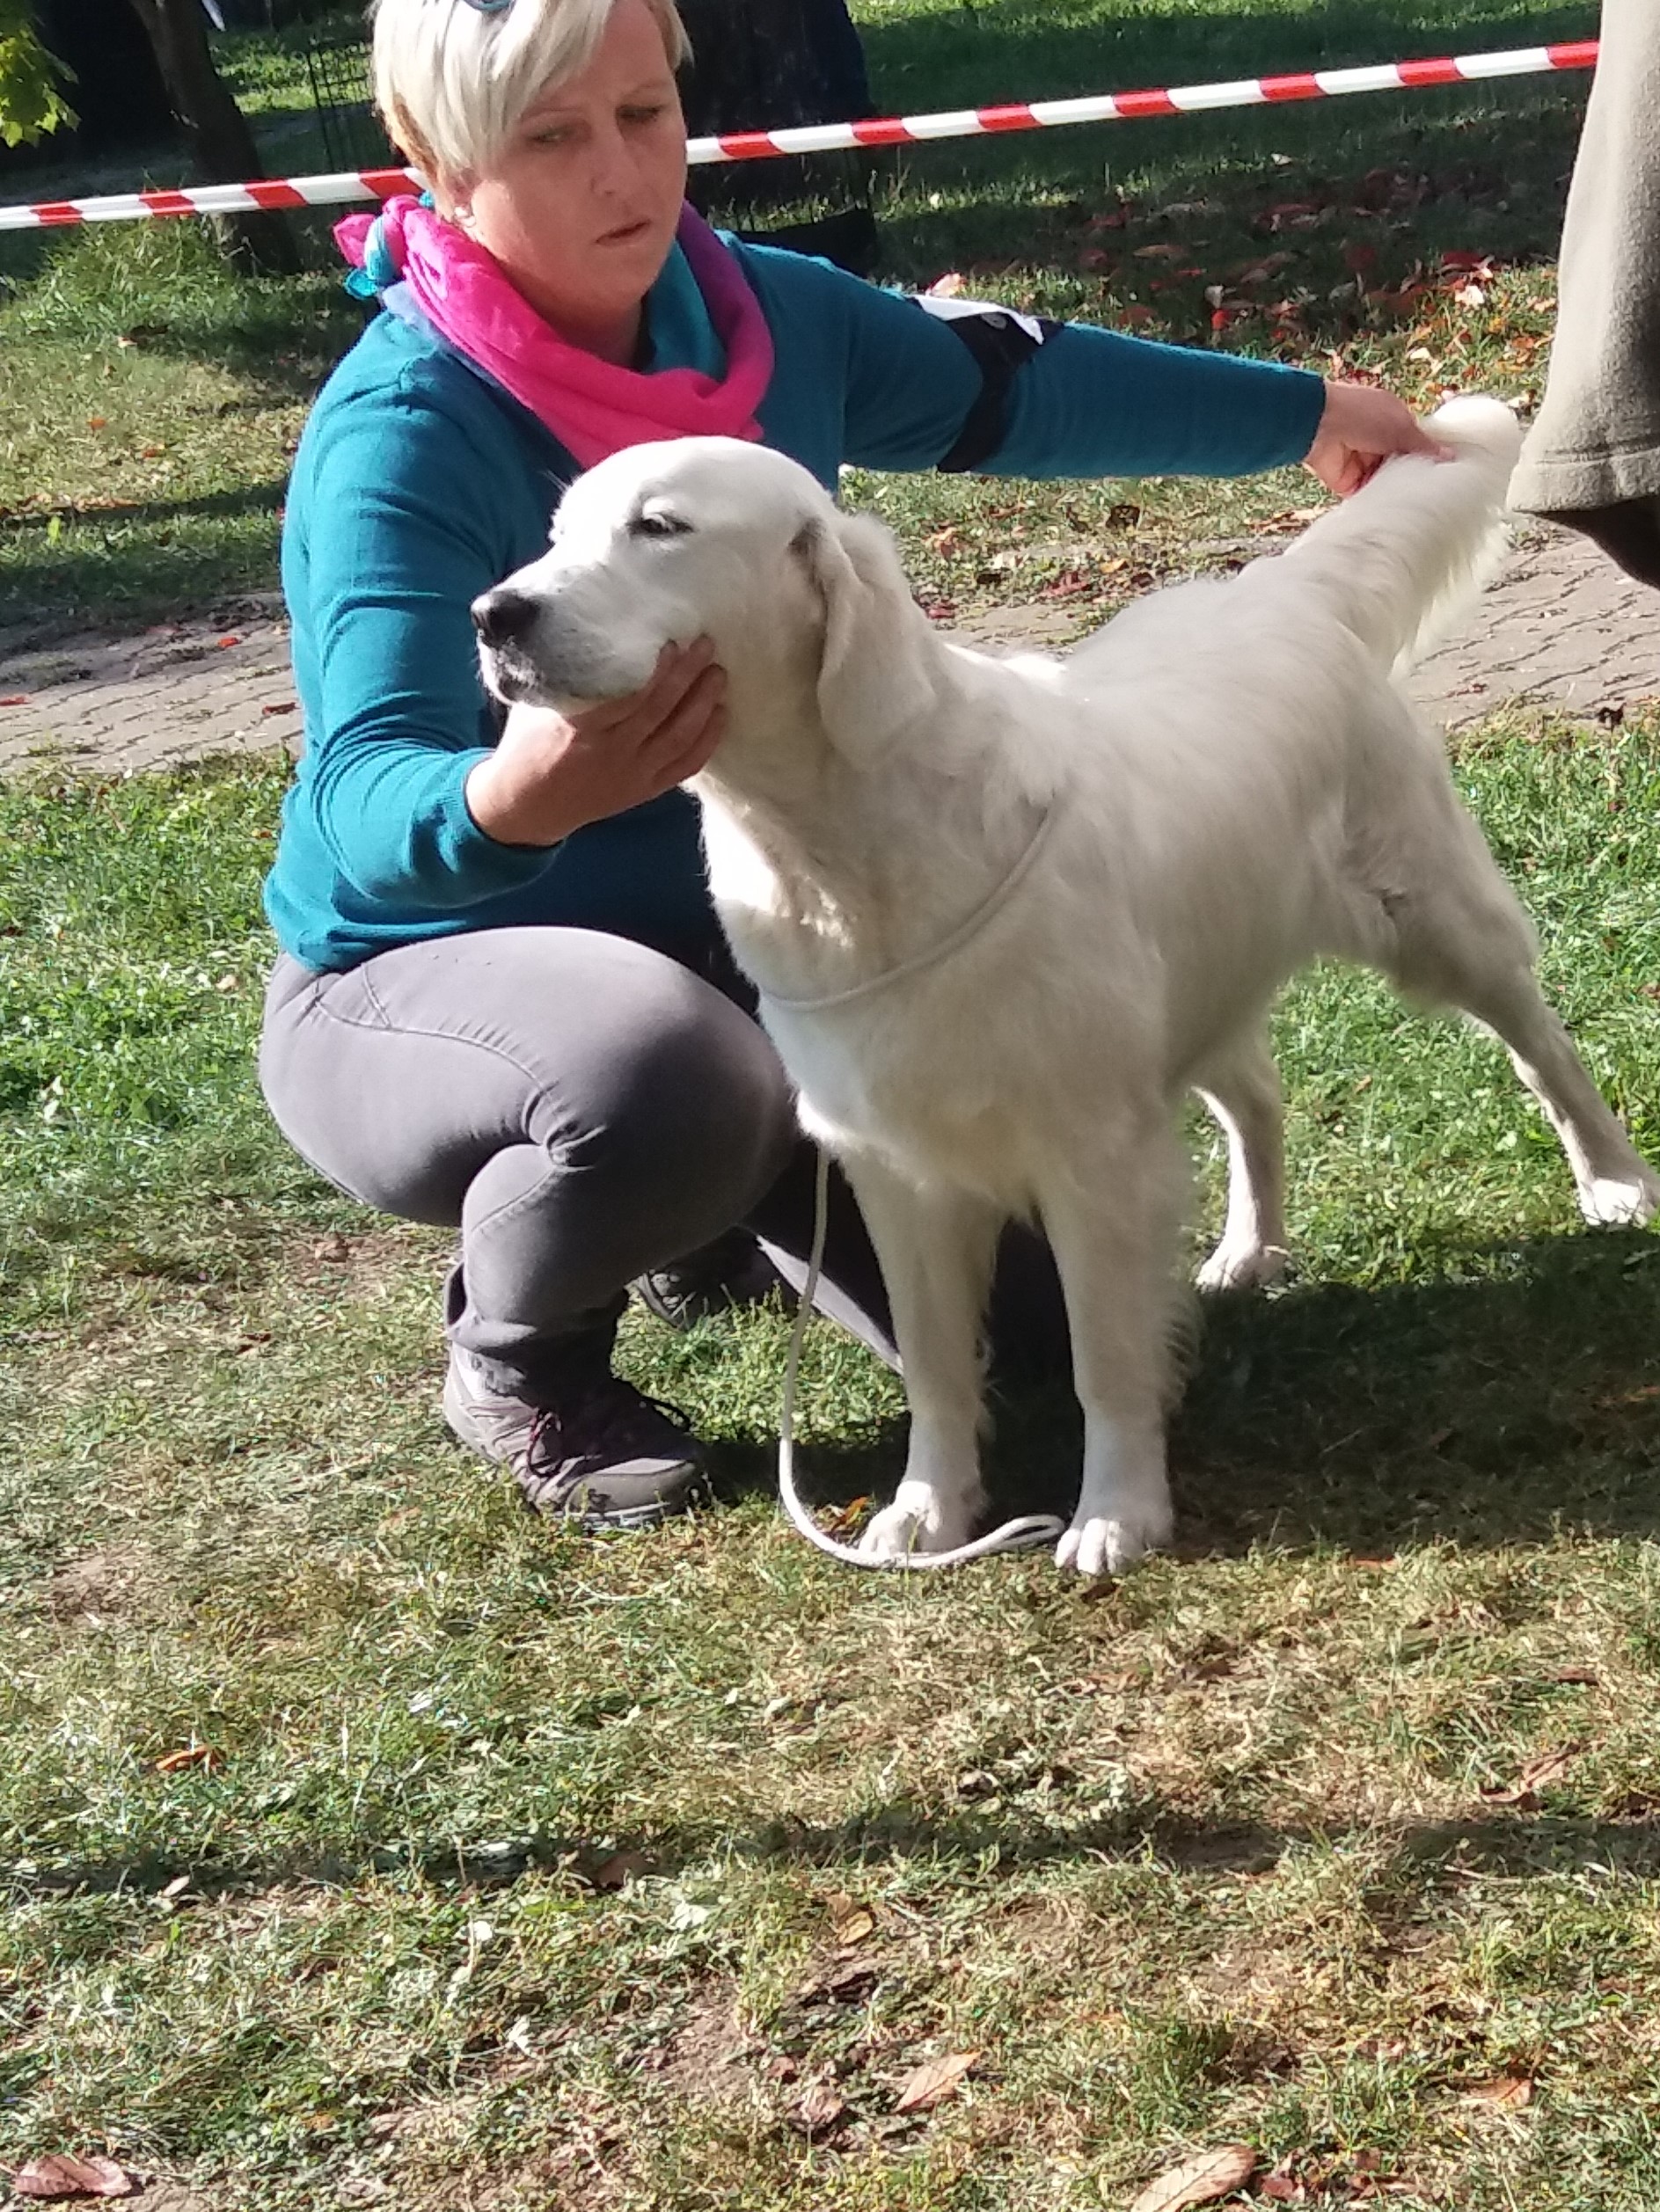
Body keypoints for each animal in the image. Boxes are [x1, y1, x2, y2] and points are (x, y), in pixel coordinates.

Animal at [471, 402, 1660, 1574]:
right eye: (557, 536)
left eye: (659, 527)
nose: (495, 614)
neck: (835, 838)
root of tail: (1282, 586)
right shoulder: (896, 1166)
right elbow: (936, 1364)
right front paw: (931, 1509)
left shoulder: (1095, 1156)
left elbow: (1103, 1358)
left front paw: (1117, 1513)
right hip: (1198, 986)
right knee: (1258, 1098)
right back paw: (1251, 1249)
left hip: (1435, 922)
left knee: (1541, 1046)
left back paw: (1613, 1181)